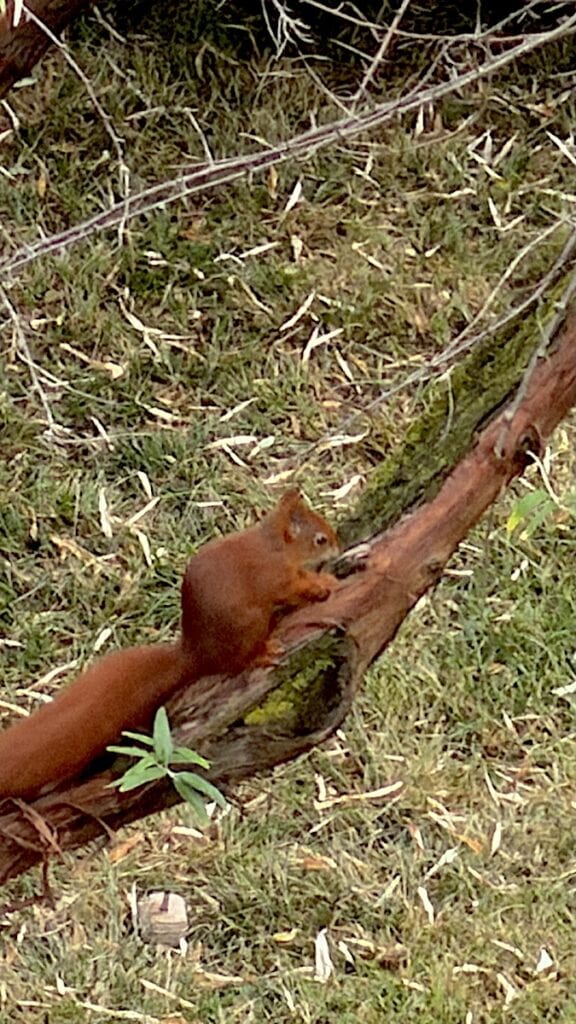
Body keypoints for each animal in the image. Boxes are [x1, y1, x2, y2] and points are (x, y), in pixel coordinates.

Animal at [0, 489, 338, 800]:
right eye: (320, 539)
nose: (337, 547)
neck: (277, 546)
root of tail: (196, 654)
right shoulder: (276, 577)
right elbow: (292, 588)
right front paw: (319, 585)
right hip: (248, 624)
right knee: (237, 662)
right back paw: (264, 653)